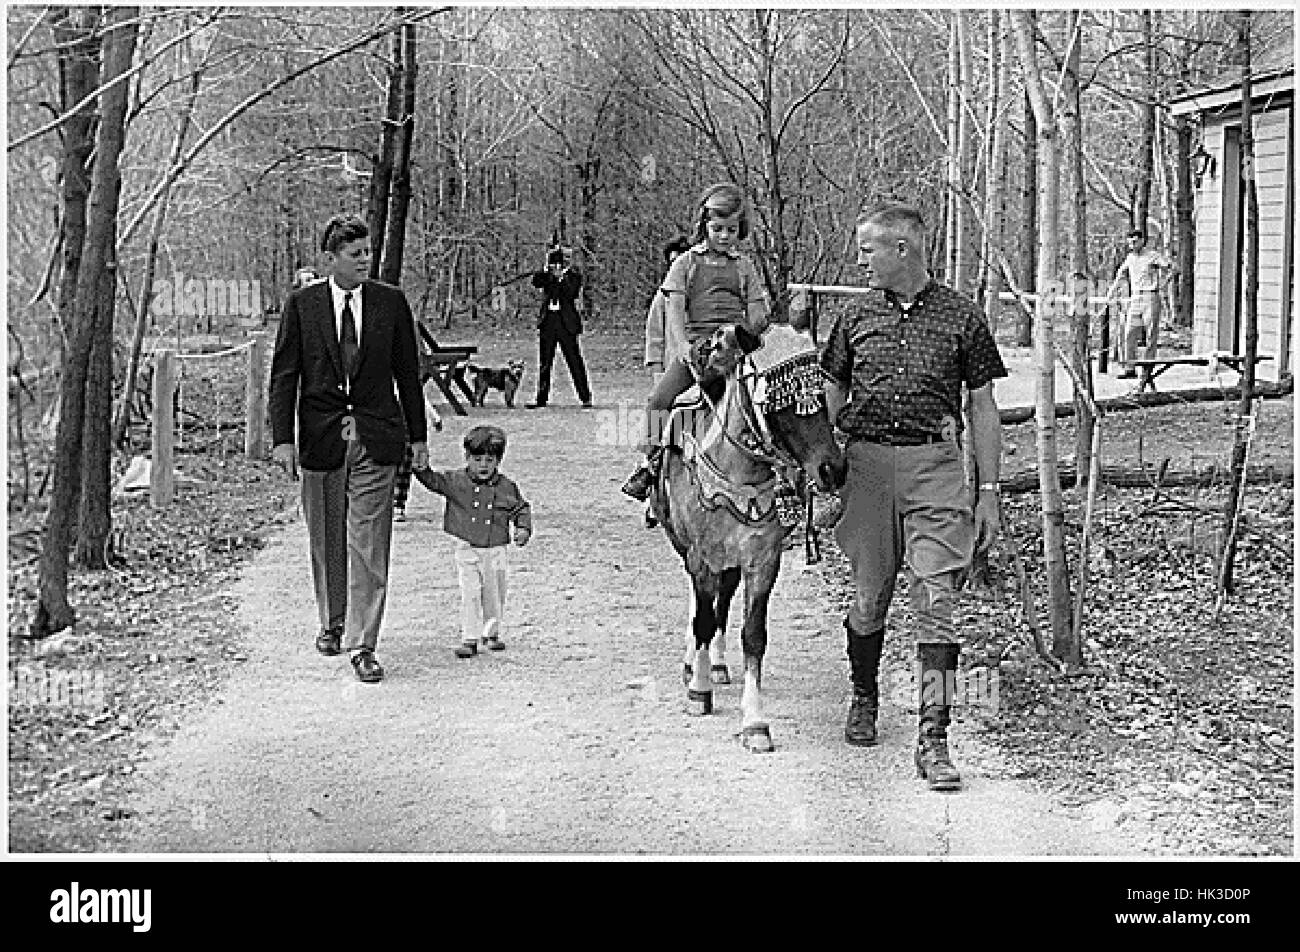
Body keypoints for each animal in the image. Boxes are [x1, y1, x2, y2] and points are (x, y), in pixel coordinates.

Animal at [650, 323, 852, 754]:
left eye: (821, 393)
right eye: (778, 401)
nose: (832, 469)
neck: (737, 478)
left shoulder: (762, 561)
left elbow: (752, 635)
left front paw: (755, 722)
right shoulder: (701, 557)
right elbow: (702, 620)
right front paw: (698, 692)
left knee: (722, 602)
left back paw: (718, 664)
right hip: (688, 549)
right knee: (701, 607)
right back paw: (695, 664)